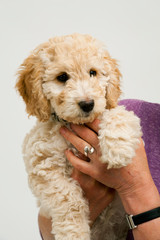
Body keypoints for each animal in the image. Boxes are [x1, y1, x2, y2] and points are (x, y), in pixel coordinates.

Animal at [15, 33, 141, 240]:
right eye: (62, 77)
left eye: (93, 72)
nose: (87, 104)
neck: (74, 124)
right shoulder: (42, 165)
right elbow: (68, 199)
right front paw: (73, 233)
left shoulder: (116, 111)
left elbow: (118, 114)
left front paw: (117, 152)